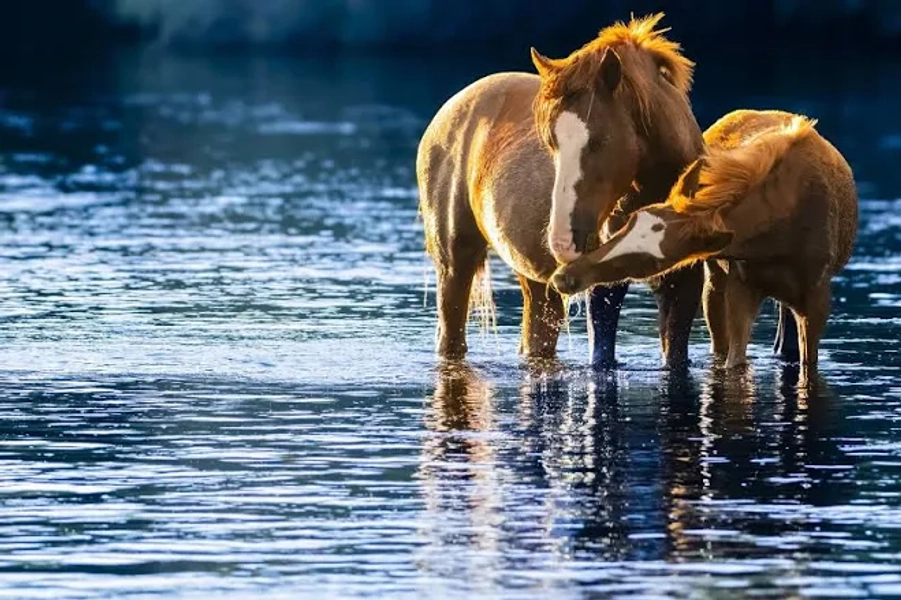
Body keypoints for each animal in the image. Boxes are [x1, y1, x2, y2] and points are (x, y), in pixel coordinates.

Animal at [416, 13, 705, 368]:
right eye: (550, 143)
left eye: (600, 141)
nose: (562, 241)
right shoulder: (601, 286)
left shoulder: (683, 286)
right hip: (454, 262)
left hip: (538, 284)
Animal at [549, 109, 859, 385]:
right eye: (631, 219)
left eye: (653, 262)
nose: (564, 276)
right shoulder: (740, 286)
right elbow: (735, 363)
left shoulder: (817, 297)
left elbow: (808, 363)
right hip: (716, 282)